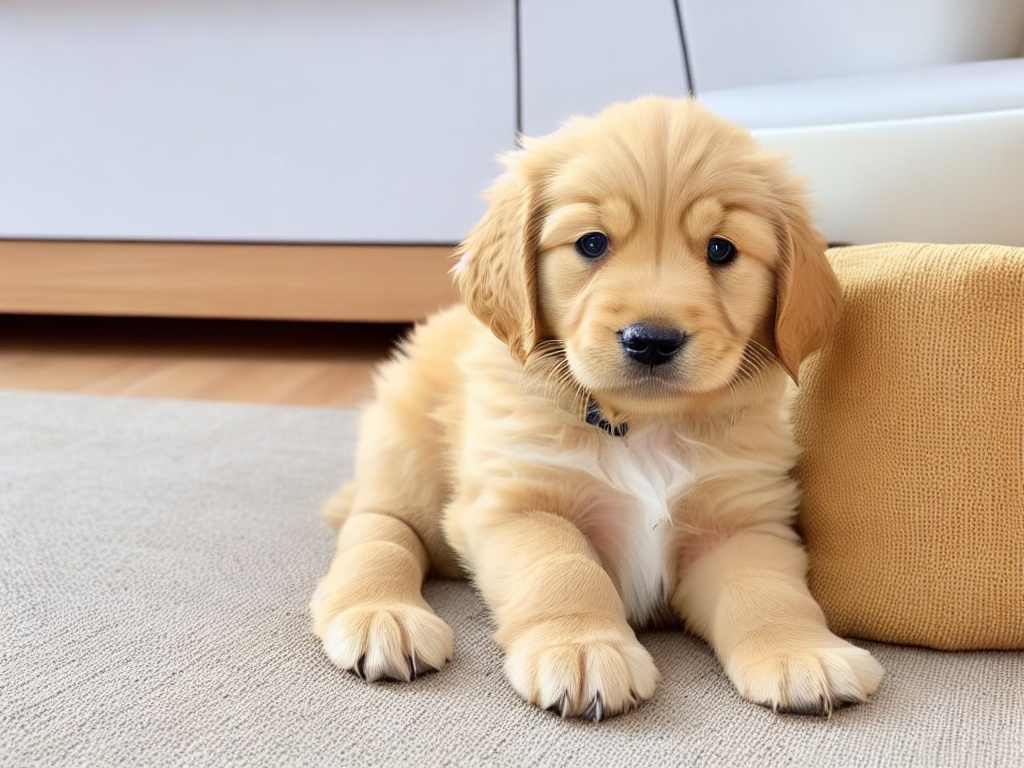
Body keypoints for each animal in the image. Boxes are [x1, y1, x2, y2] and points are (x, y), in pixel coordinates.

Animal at [307, 96, 884, 720]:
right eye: (591, 243)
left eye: (721, 249)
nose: (651, 341)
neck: (643, 425)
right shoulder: (518, 501)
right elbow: (562, 568)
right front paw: (582, 648)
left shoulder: (738, 519)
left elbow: (767, 590)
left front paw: (803, 652)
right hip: (406, 456)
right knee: (378, 530)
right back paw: (381, 615)